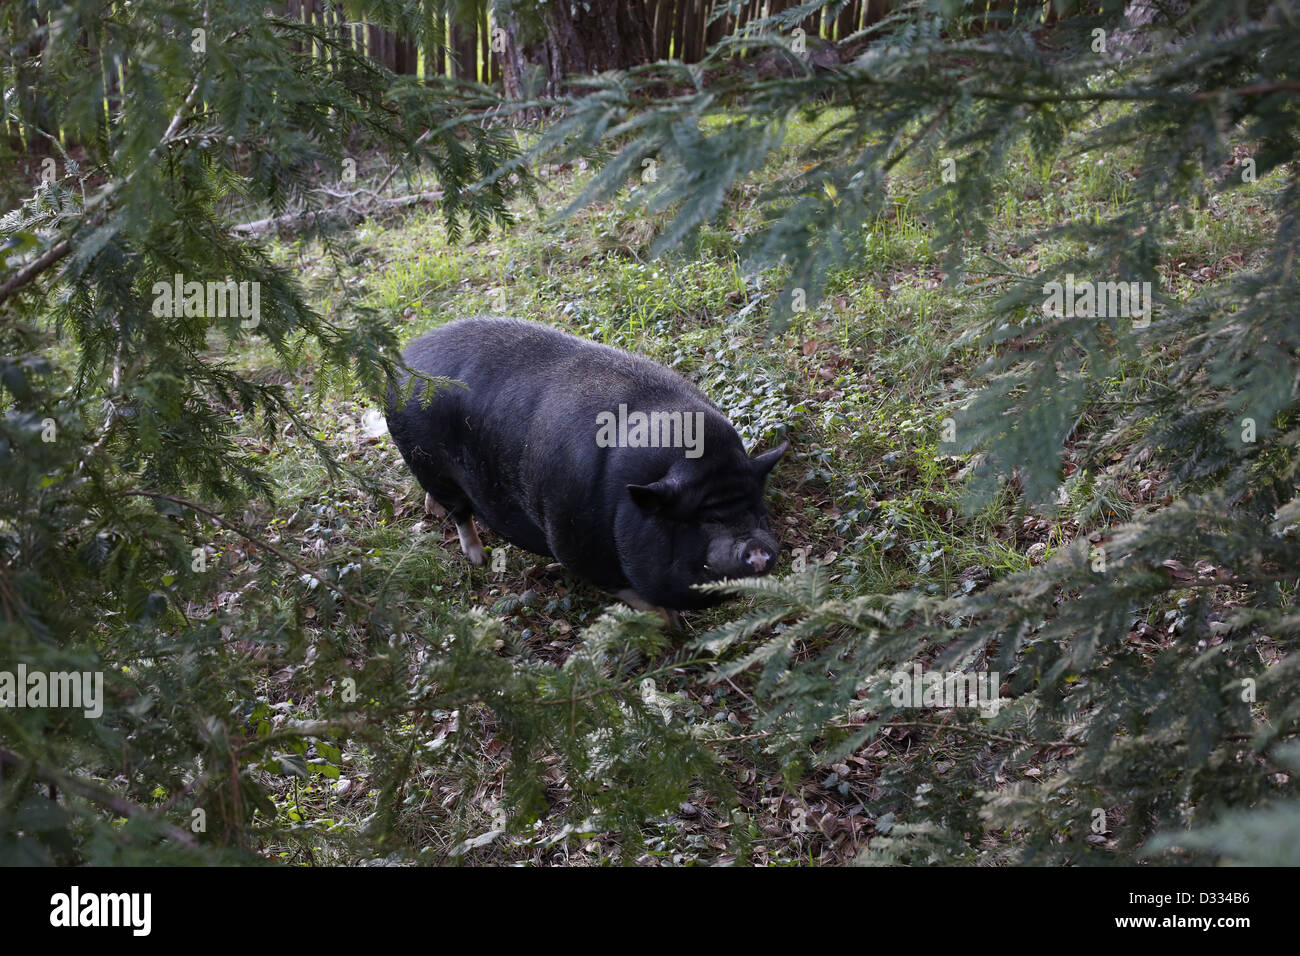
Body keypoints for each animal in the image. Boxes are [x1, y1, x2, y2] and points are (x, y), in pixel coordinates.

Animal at [385, 317, 787, 618]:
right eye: (702, 522)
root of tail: (405, 359)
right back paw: (479, 558)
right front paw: (666, 622)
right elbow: (622, 588)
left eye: (759, 512)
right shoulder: (572, 542)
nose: (757, 548)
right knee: (460, 512)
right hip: (429, 464)